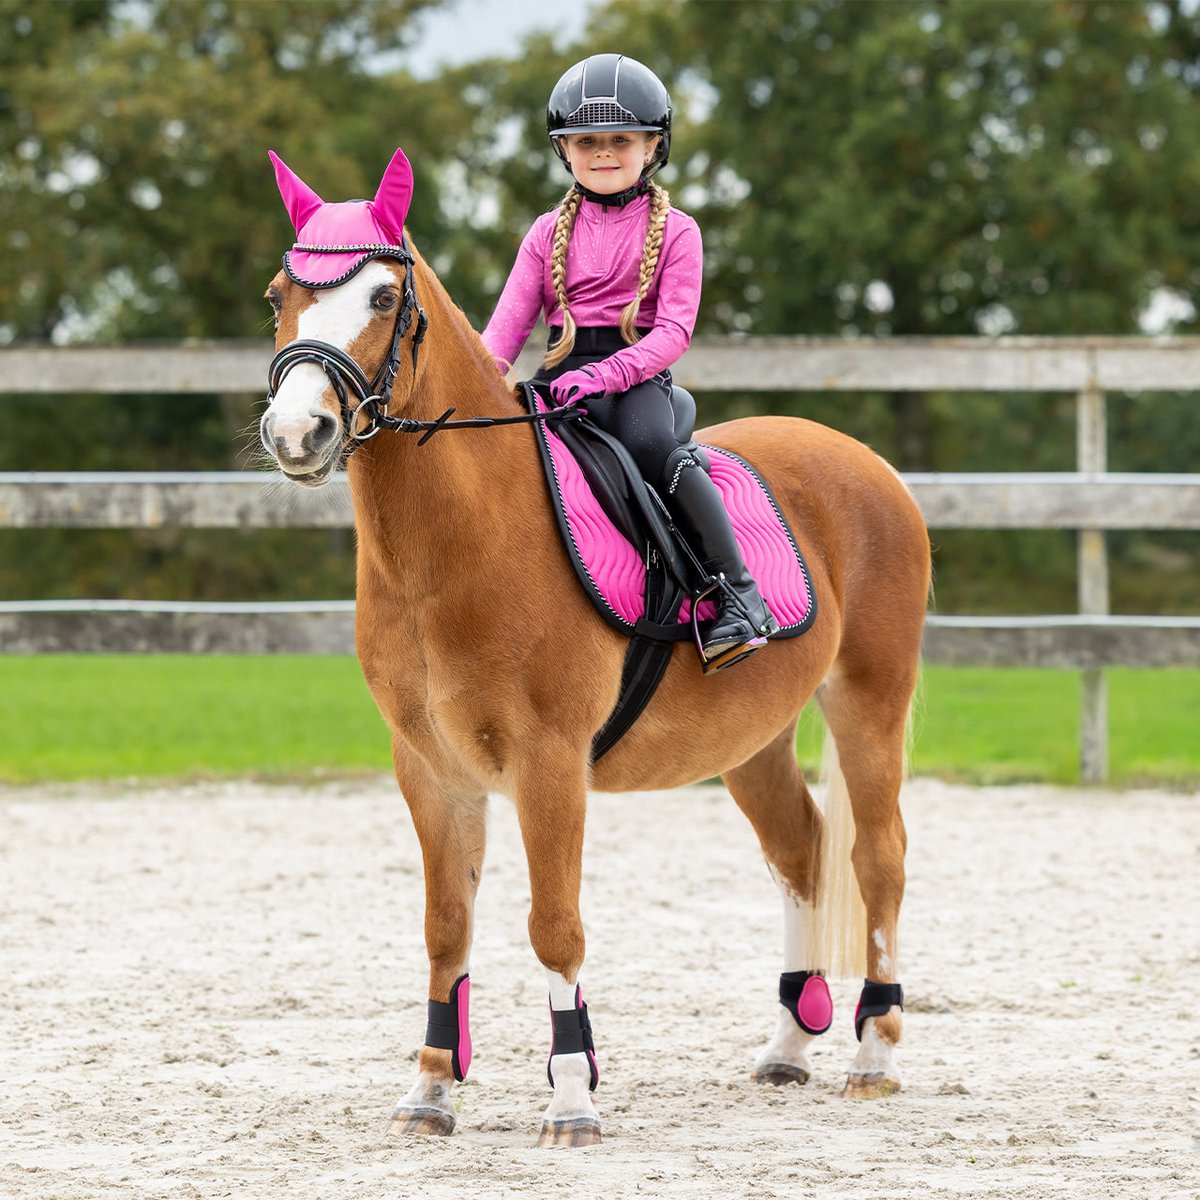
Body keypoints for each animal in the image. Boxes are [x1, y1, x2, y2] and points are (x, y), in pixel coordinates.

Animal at [259, 147, 930, 1148]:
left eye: (382, 297)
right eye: (278, 297)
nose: (298, 433)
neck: (459, 543)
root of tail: (863, 461)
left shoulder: (549, 762)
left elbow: (554, 926)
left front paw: (572, 1100)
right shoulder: (430, 768)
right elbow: (445, 924)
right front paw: (430, 1090)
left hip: (870, 699)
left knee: (876, 858)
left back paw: (874, 1054)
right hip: (752, 739)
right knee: (802, 850)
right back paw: (787, 1045)